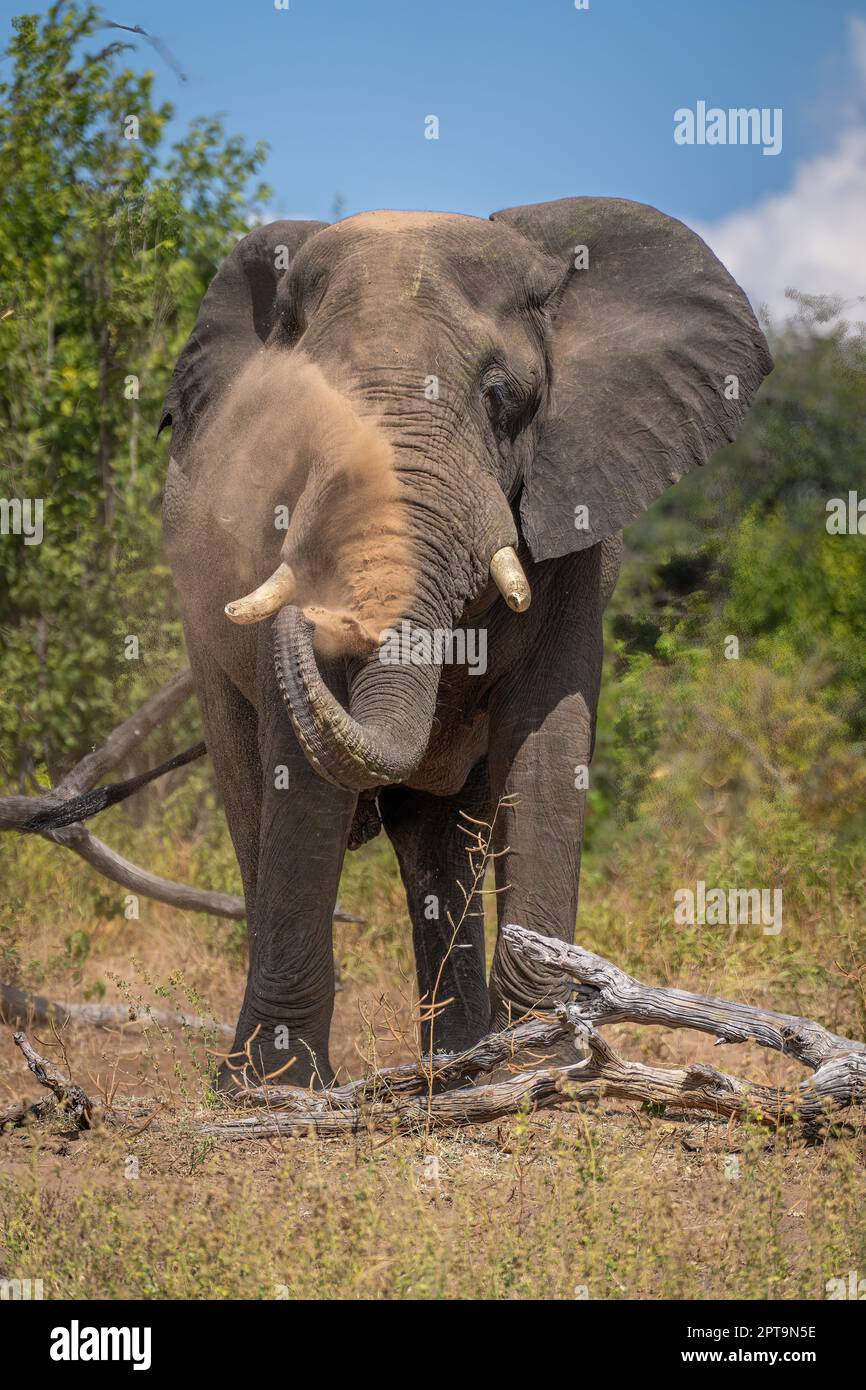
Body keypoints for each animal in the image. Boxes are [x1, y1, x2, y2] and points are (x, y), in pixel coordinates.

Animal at [159, 197, 772, 1088]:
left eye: (500, 396)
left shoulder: (574, 517)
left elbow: (548, 740)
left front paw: (539, 1064)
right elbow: (296, 778)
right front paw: (275, 1092)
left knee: (437, 840)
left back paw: (459, 1066)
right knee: (252, 799)